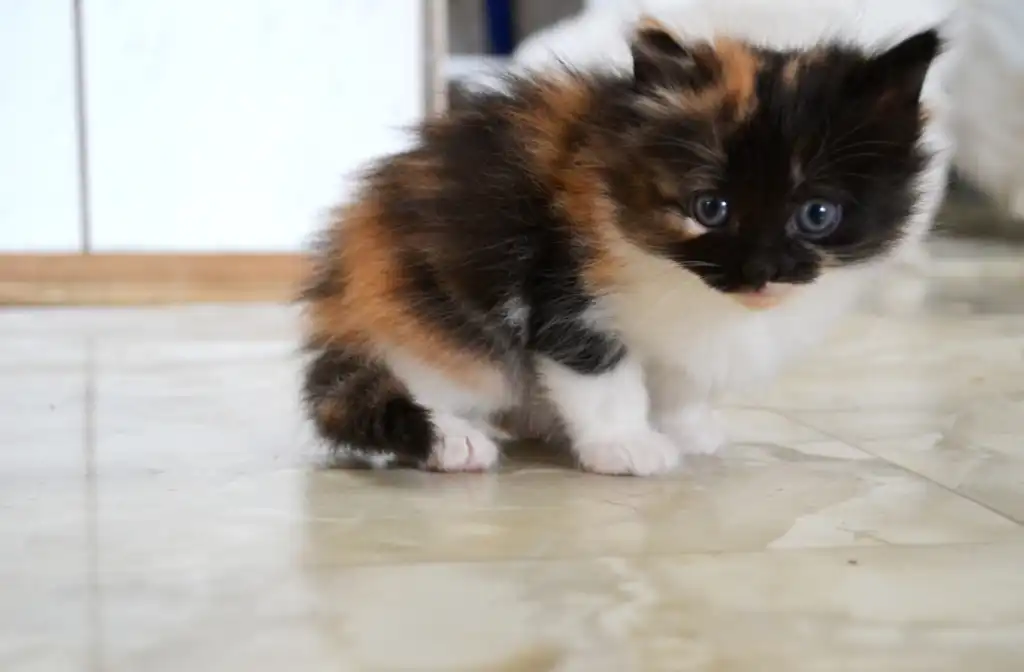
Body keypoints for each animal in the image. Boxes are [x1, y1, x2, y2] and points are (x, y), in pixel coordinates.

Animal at [301, 19, 941, 476]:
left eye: (817, 215)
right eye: (710, 208)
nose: (761, 271)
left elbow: (683, 376)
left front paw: (688, 426)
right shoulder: (561, 280)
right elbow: (601, 371)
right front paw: (626, 444)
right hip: (434, 322)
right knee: (366, 395)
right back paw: (457, 438)